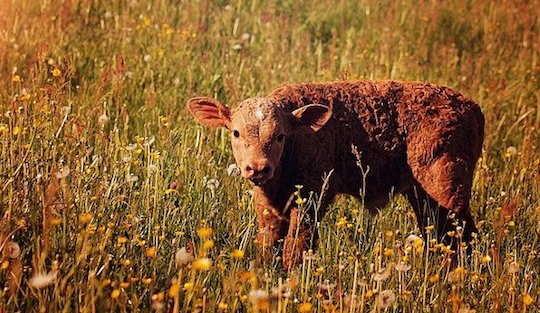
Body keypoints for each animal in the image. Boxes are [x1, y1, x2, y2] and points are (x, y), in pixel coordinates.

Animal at [188, 80, 484, 266]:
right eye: (236, 133)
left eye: (281, 136)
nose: (258, 167)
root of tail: (472, 107)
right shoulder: (269, 207)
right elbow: (268, 247)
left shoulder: (312, 198)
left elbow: (296, 249)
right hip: (422, 194)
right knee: (439, 235)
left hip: (446, 187)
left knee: (462, 236)